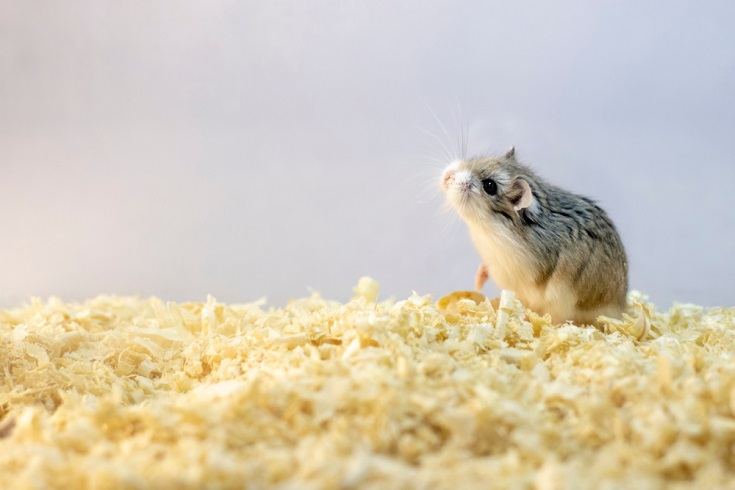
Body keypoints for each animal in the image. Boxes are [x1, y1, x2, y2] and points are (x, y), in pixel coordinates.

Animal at [440, 147, 628, 325]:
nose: (446, 176)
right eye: (479, 159)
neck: (490, 227)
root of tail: (621, 308)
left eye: (489, 185)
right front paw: (478, 282)